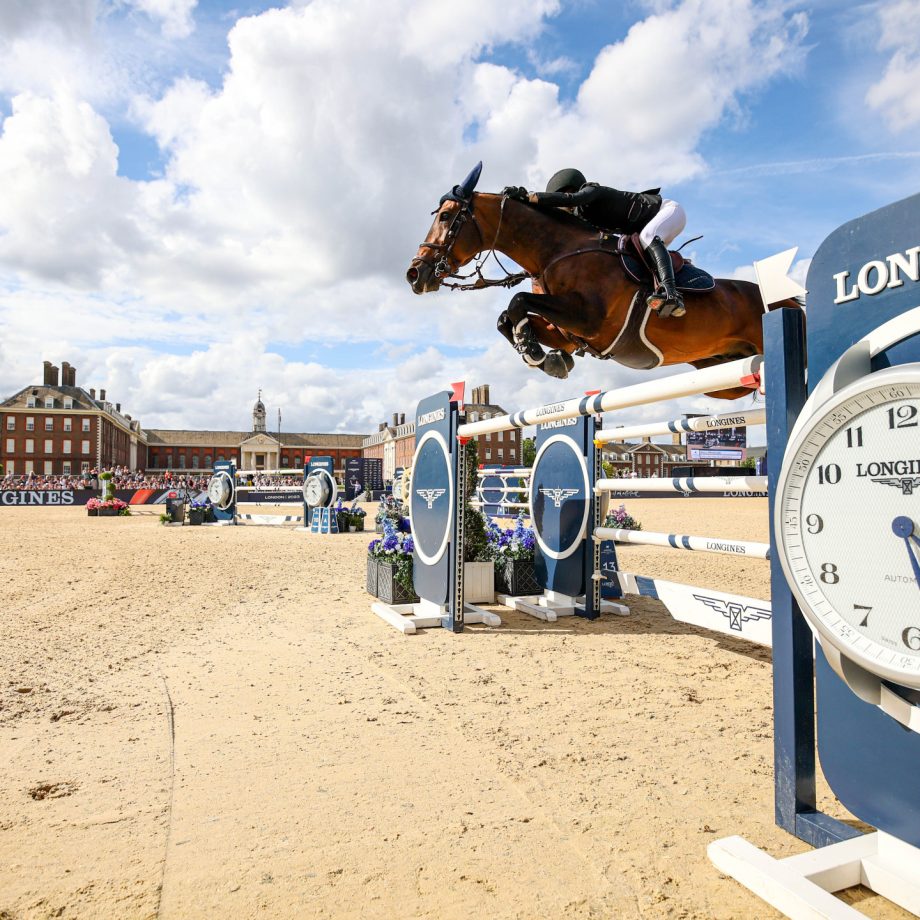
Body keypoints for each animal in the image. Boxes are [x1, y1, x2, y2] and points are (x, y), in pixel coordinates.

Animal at [406, 164, 800, 400]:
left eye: (446, 216)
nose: (414, 274)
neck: (556, 252)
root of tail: (790, 299)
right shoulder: (569, 331)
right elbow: (509, 317)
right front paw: (545, 357)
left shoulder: (590, 319)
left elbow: (516, 302)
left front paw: (534, 350)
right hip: (721, 375)